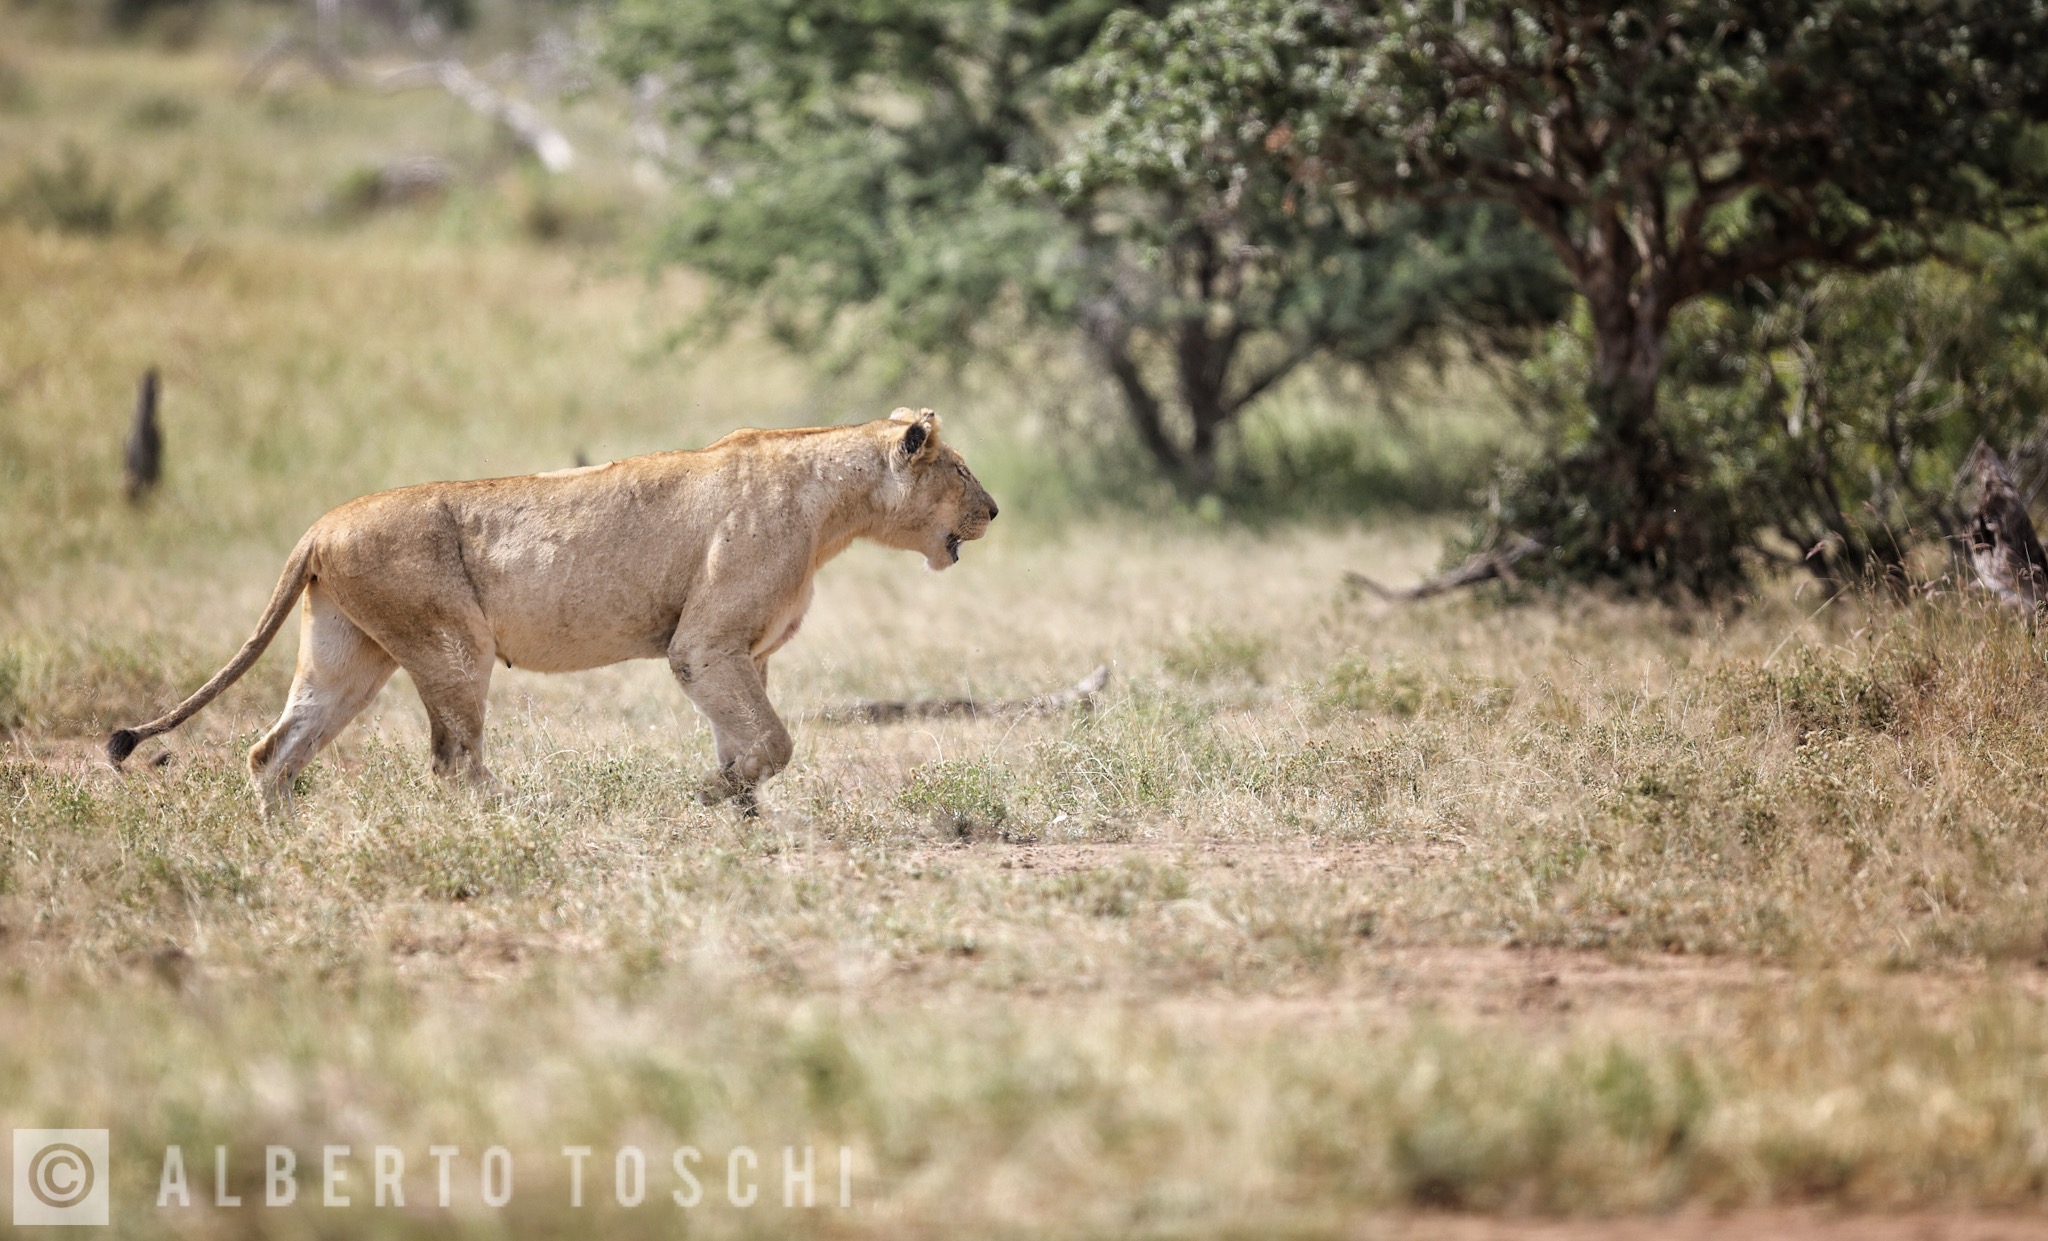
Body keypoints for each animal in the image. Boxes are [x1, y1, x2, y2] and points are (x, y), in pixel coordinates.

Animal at [106, 407, 998, 813]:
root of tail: (319, 526)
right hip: (452, 645)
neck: (833, 509)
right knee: (454, 759)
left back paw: (283, 839)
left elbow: (746, 739)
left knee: (274, 750)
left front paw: (736, 812)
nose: (995, 509)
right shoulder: (705, 645)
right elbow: (773, 740)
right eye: (958, 467)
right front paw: (709, 797)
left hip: (349, 657)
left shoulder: (738, 653)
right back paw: (514, 814)